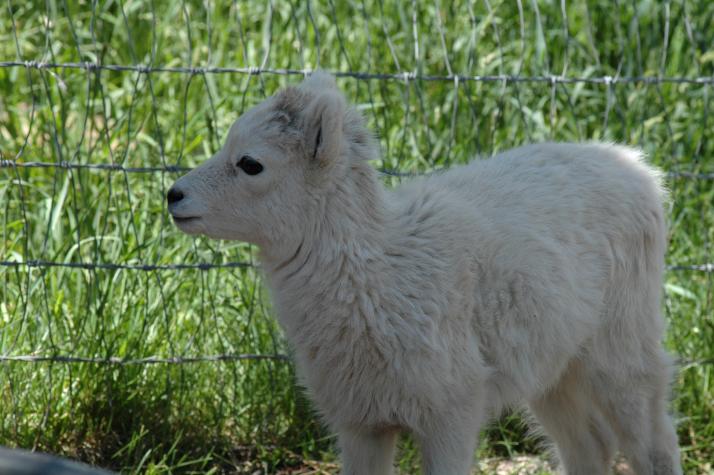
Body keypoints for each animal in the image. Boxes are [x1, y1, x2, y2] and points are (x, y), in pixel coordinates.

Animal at [167, 71, 680, 475]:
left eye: (251, 163)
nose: (173, 196)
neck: (380, 274)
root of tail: (642, 170)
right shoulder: (361, 424)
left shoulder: (450, 417)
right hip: (554, 369)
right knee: (589, 448)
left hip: (623, 352)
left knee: (654, 447)